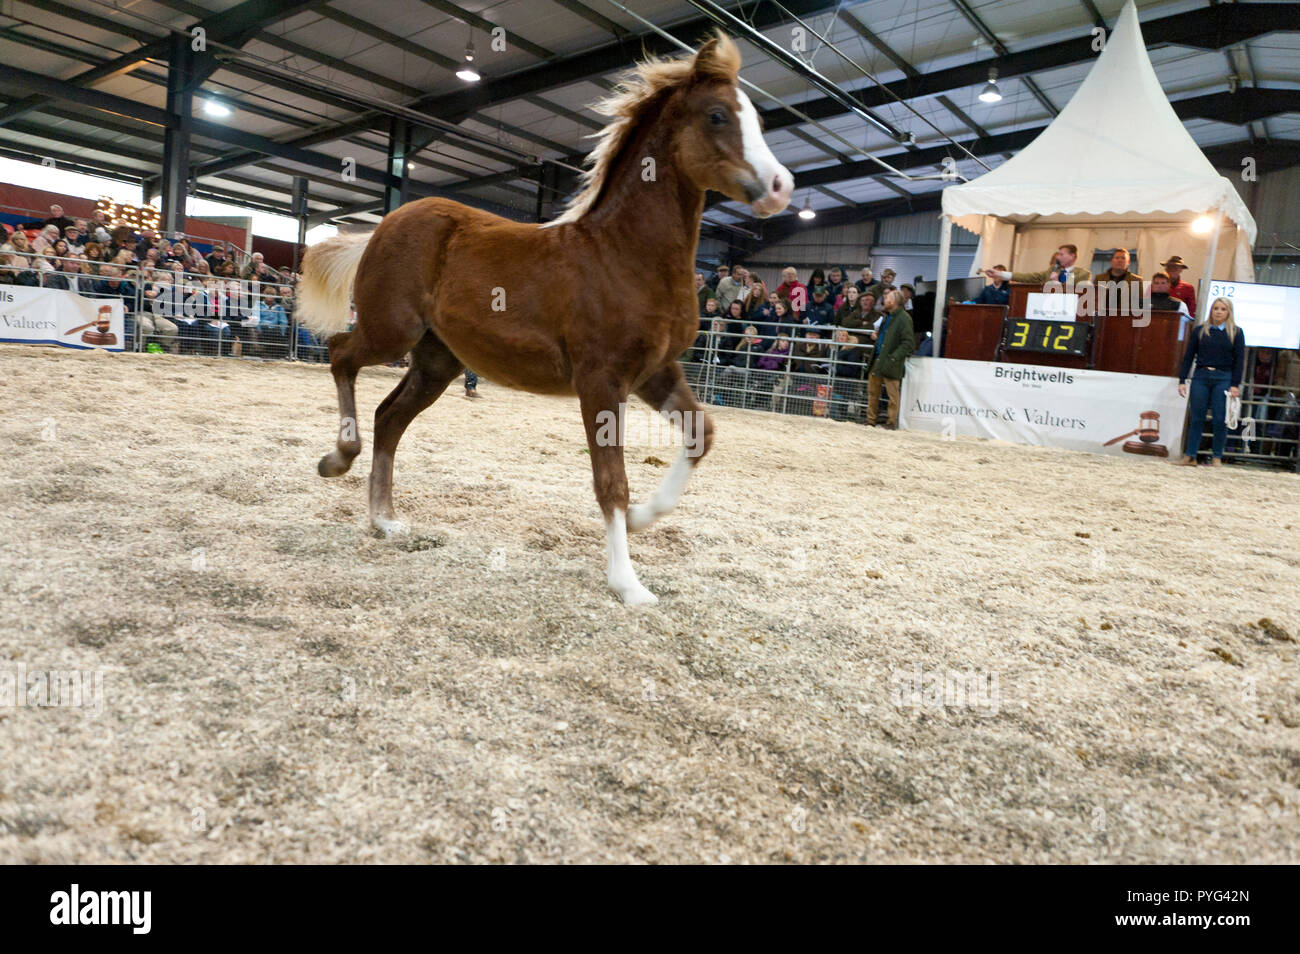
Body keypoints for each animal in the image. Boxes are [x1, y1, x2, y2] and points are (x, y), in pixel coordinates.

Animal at [297, 35, 790, 605]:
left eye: (756, 118)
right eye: (716, 115)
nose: (780, 187)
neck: (626, 254)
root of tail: (381, 225)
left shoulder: (656, 372)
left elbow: (700, 435)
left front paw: (644, 517)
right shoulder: (601, 379)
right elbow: (611, 481)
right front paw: (628, 584)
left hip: (437, 360)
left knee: (389, 417)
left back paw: (384, 520)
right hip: (390, 331)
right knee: (340, 355)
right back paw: (337, 459)